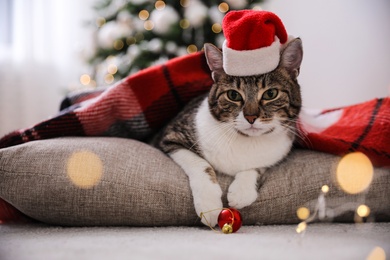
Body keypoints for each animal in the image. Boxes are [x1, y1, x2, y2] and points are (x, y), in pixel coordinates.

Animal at [156, 37, 304, 226]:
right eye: (233, 95)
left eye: (270, 93)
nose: (250, 117)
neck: (245, 140)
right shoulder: (170, 136)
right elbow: (199, 163)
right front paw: (209, 206)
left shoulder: (277, 153)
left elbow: (257, 167)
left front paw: (242, 191)